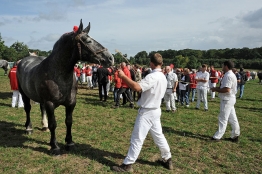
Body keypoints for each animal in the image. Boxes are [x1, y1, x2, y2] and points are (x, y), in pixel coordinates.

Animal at [16, 19, 113, 154]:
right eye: (88, 40)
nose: (110, 58)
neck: (58, 76)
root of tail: (23, 61)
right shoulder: (50, 103)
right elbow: (53, 124)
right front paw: (54, 146)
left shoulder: (71, 103)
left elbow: (69, 121)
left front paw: (69, 143)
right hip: (24, 94)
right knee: (28, 109)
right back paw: (28, 128)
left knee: (41, 109)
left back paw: (44, 126)